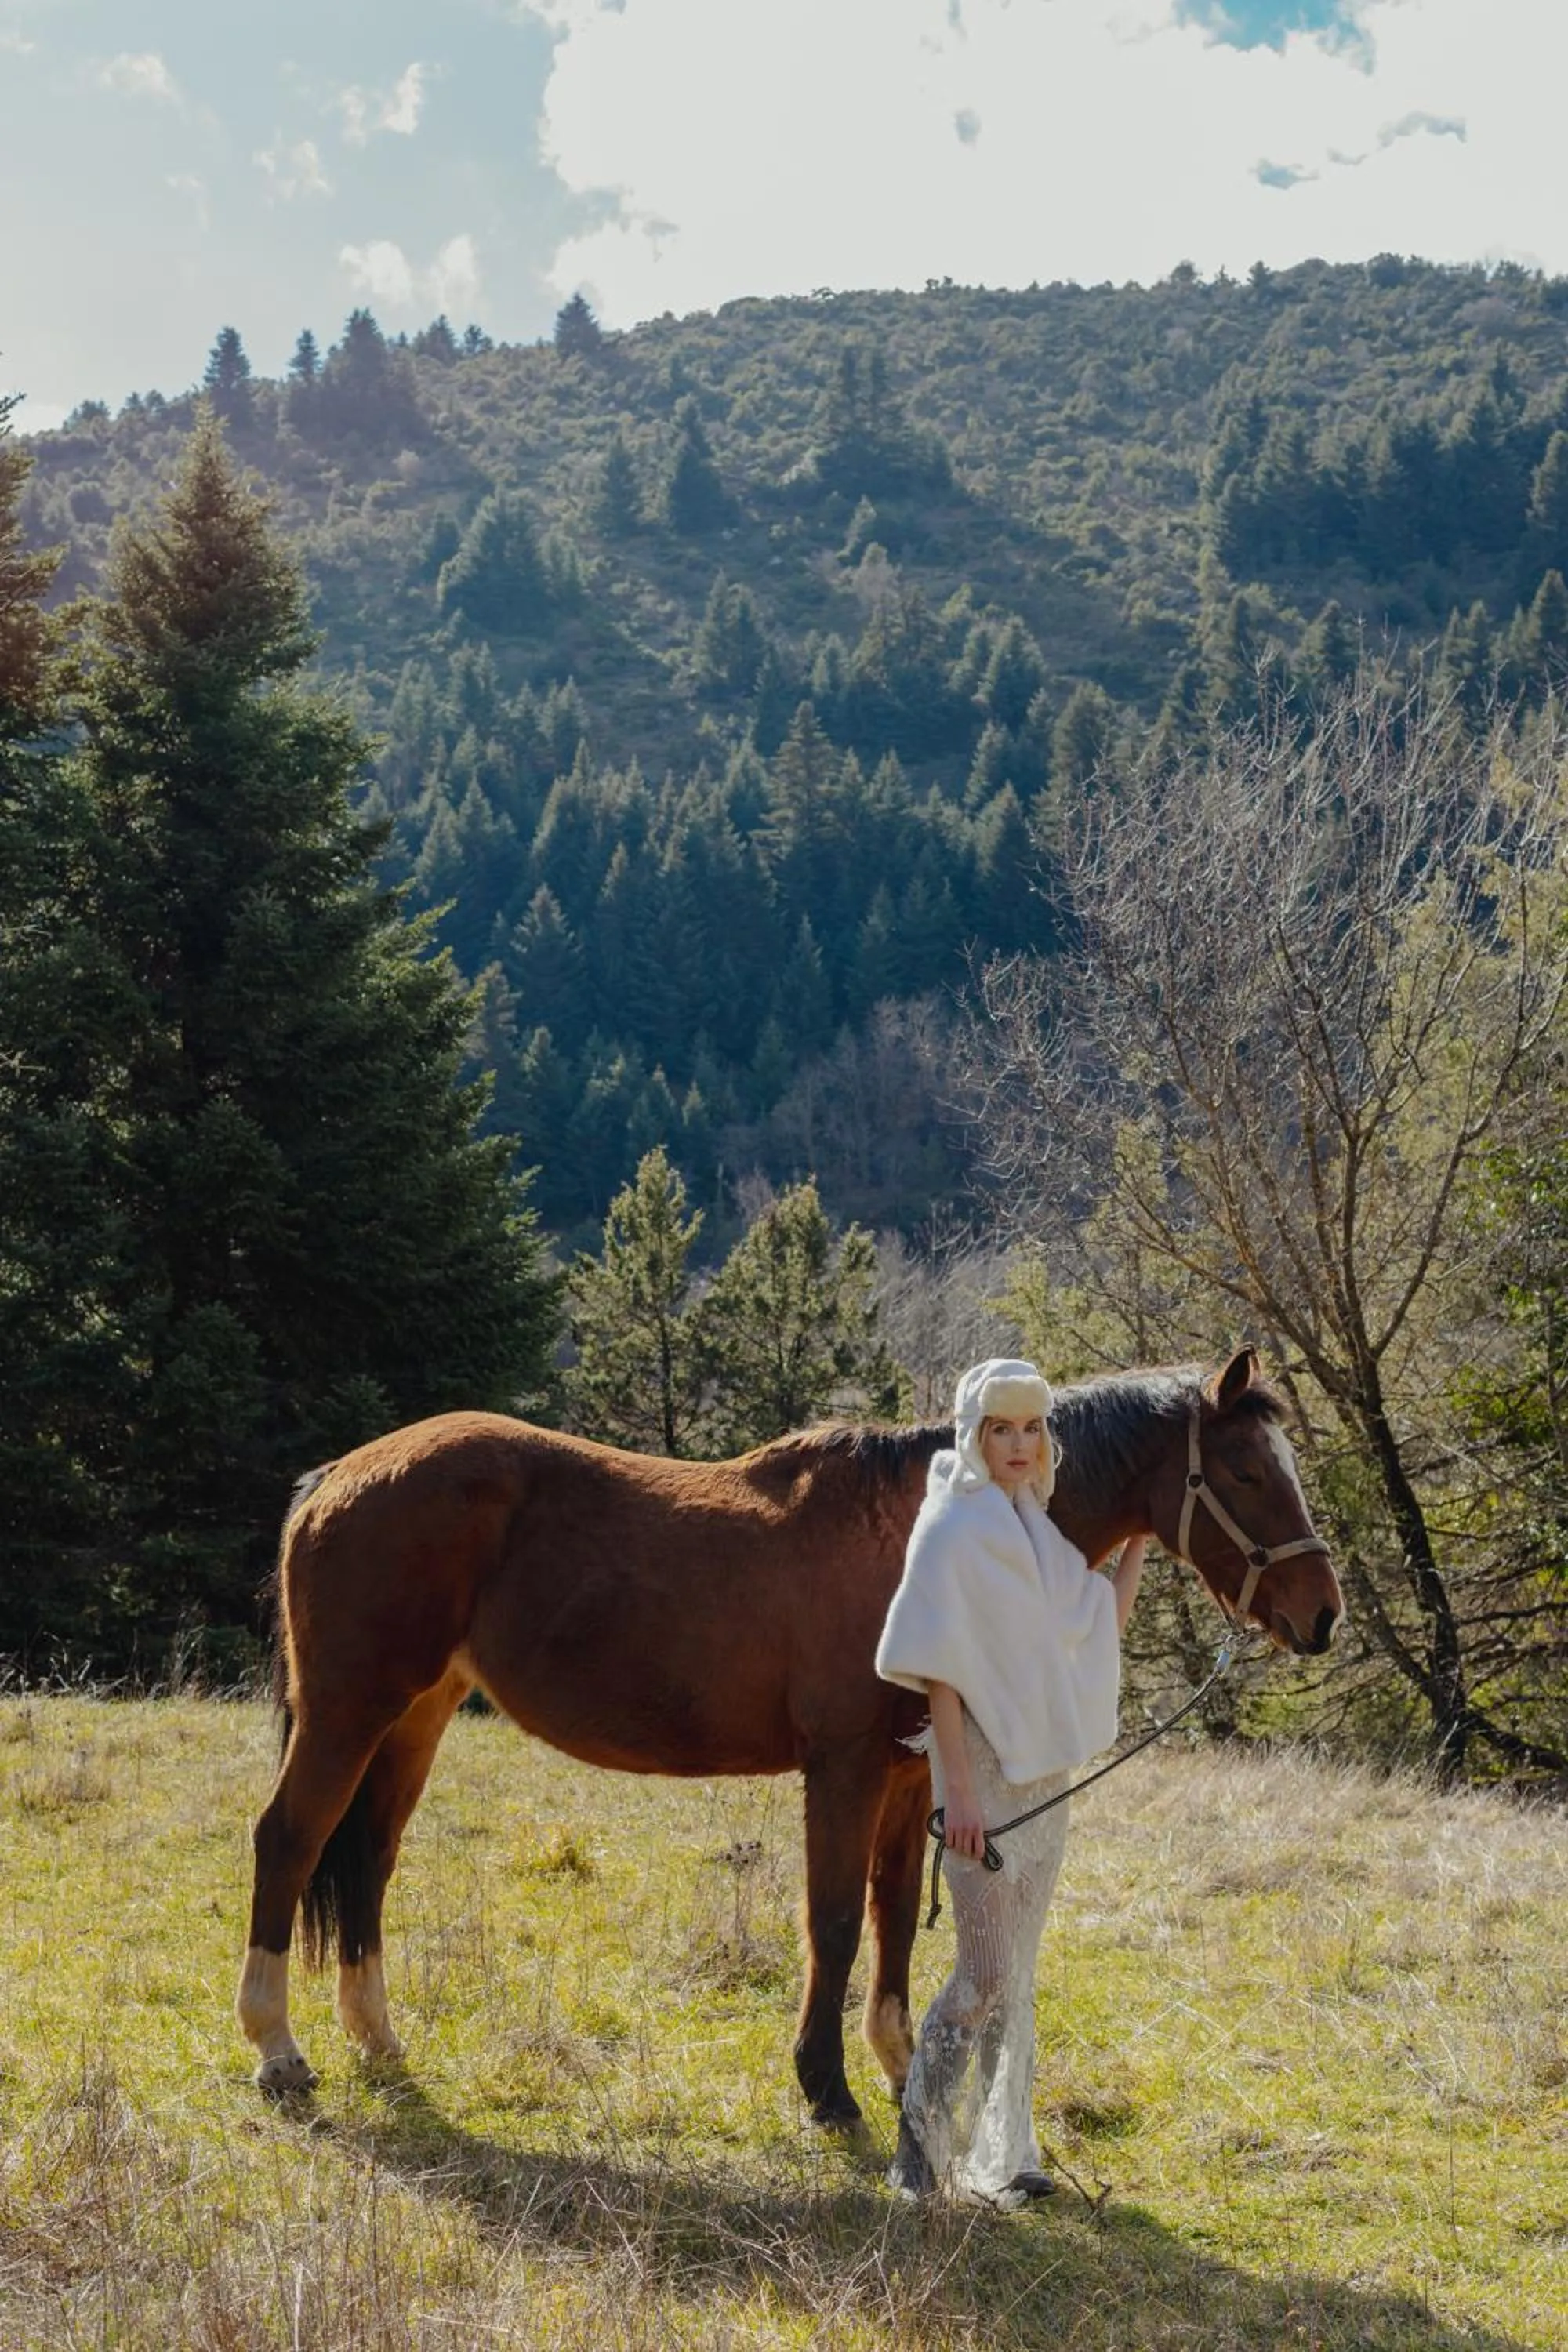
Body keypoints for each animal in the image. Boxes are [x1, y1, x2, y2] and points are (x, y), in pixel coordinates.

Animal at [237, 1346, 1343, 2116]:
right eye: (1246, 1474)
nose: (1321, 1615)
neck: (917, 1535)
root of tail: (337, 1475)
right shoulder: (843, 1767)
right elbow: (837, 1921)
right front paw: (824, 2088)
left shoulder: (911, 1777)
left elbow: (892, 1917)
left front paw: (897, 2071)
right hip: (350, 1709)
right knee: (290, 1840)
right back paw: (278, 2049)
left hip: (413, 1718)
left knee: (368, 1860)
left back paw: (377, 2041)